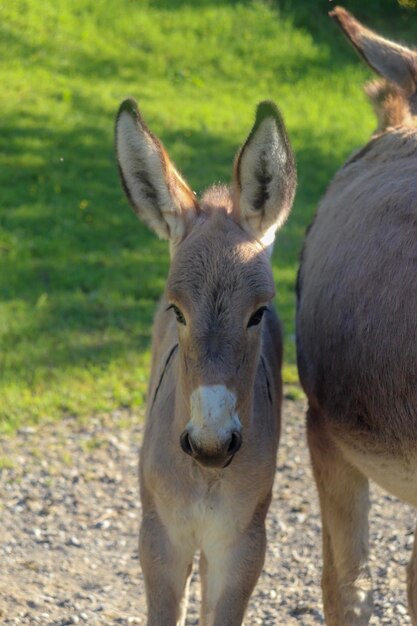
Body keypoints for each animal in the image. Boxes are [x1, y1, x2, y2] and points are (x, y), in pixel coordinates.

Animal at [114, 100, 296, 620]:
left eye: (258, 313)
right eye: (178, 310)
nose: (211, 444)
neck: (205, 477)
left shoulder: (243, 544)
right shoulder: (159, 540)